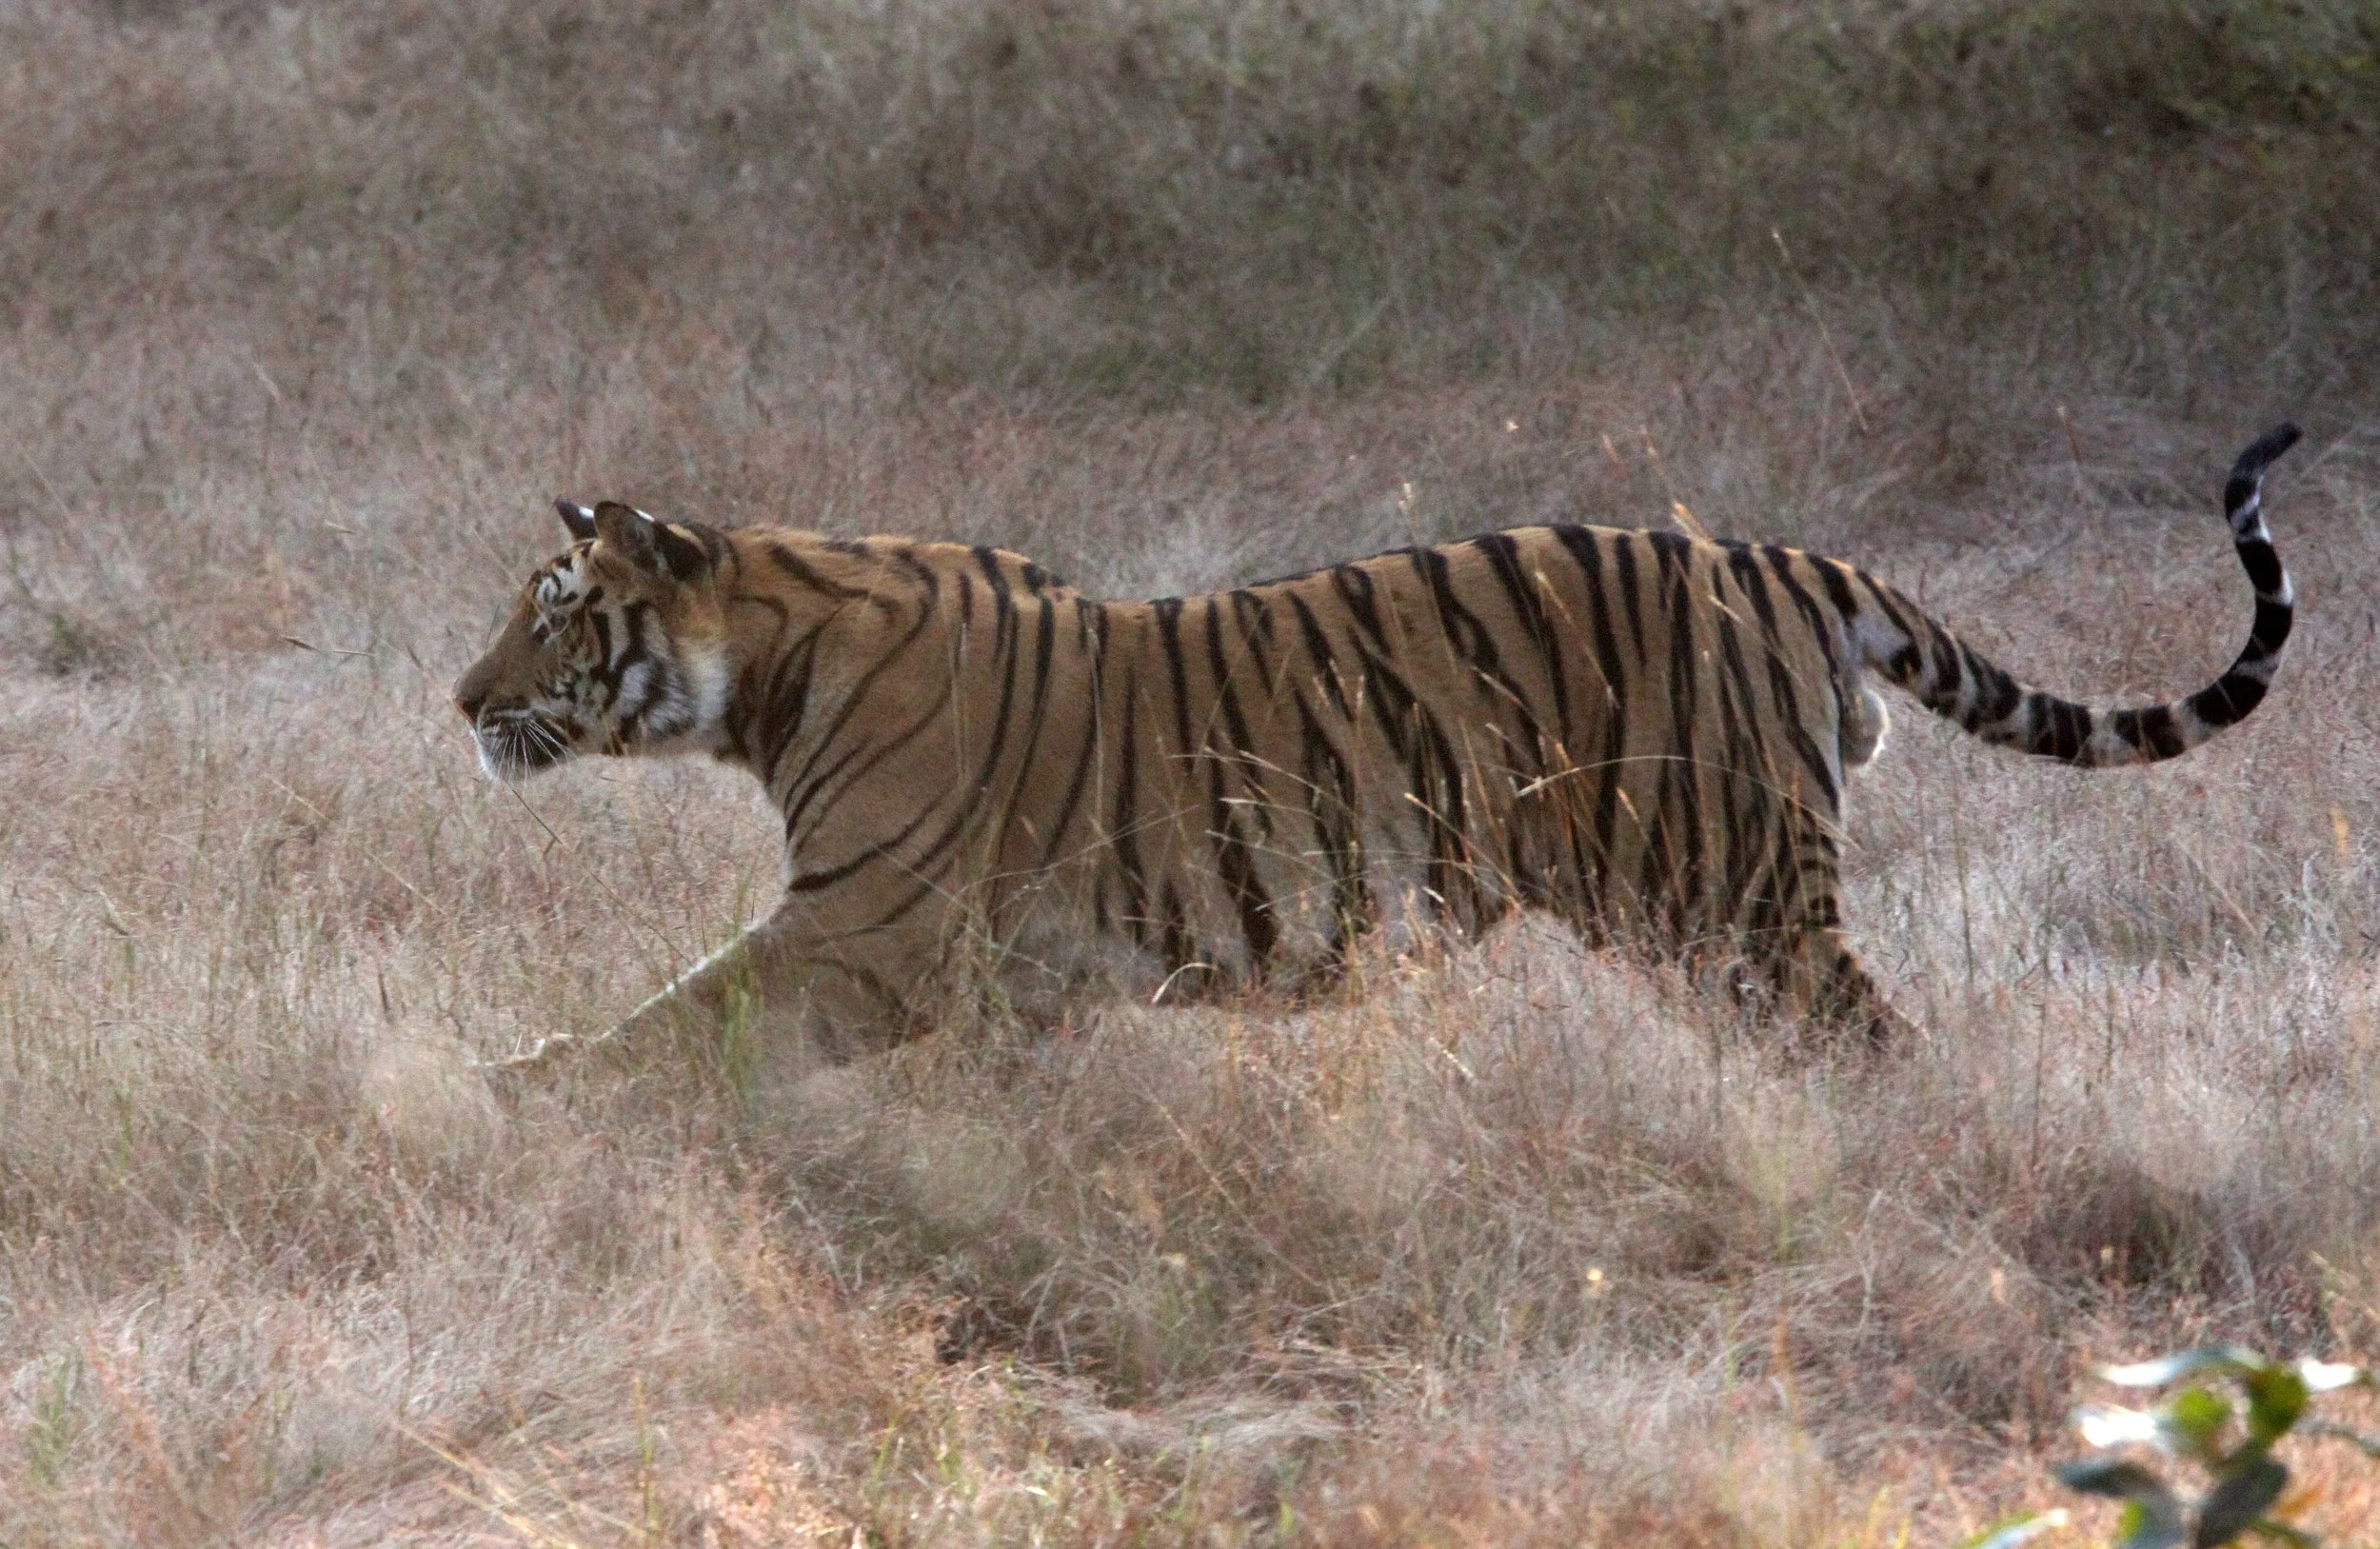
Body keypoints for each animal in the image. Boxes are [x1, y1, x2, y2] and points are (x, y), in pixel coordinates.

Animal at [453, 424, 2300, 1071]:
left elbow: (654, 1039)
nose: (459, 702)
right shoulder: (975, 980)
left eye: (552, 613)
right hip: (1699, 915)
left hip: (1736, 895)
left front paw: (501, 1100)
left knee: (1884, 1054)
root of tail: (1786, 558)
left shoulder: (856, 935)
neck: (766, 667)